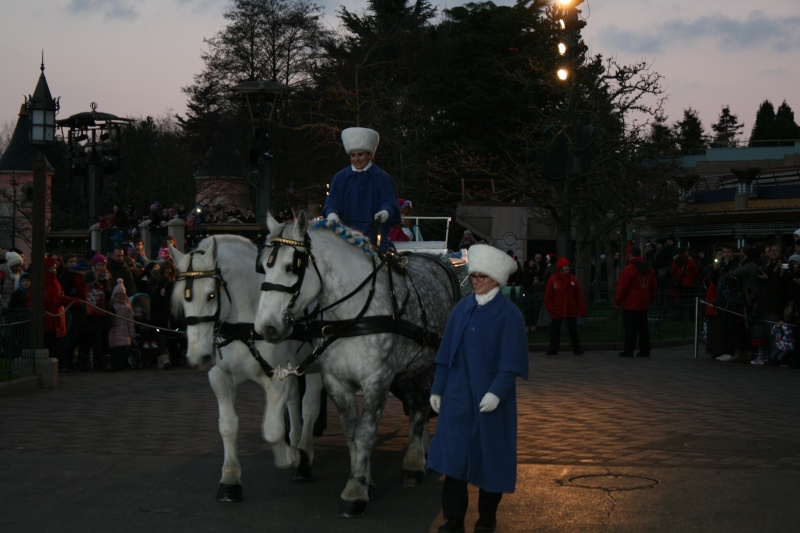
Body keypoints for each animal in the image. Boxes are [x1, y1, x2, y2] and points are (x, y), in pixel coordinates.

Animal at [170, 235, 324, 500]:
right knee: (294, 400)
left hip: (314, 367)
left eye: (211, 295)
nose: (199, 356)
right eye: (183, 299)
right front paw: (230, 479)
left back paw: (303, 457)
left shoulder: (277, 379)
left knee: (310, 406)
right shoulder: (220, 379)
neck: (245, 328)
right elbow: (228, 426)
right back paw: (295, 441)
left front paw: (291, 458)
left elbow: (272, 430)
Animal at [253, 212, 460, 516]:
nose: (265, 327)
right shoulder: (336, 382)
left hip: (429, 364)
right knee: (413, 405)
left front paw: (356, 491)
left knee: (422, 407)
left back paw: (414, 463)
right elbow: (351, 432)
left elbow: (365, 433)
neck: (351, 317)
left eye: (293, 266)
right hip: (406, 372)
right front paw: (364, 480)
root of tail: (436, 261)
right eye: (262, 267)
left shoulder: (377, 380)